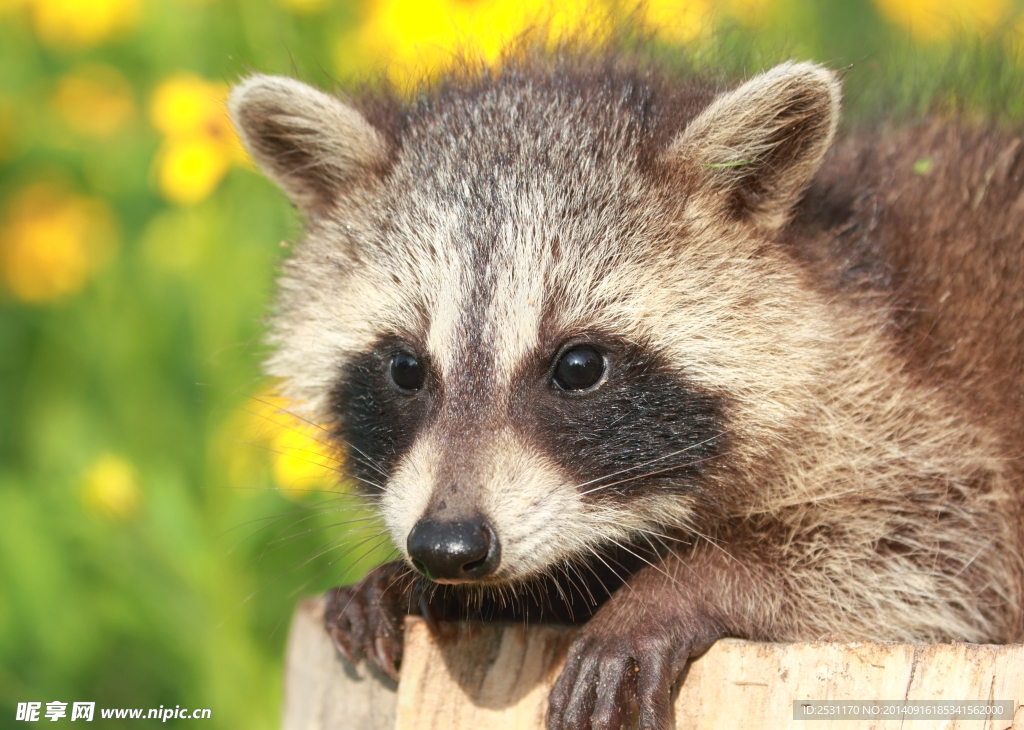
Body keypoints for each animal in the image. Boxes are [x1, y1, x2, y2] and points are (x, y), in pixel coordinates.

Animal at [230, 41, 1024, 728]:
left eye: (579, 367)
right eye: (404, 369)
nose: (447, 547)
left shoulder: (912, 421)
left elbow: (927, 556)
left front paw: (684, 585)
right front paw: (413, 583)